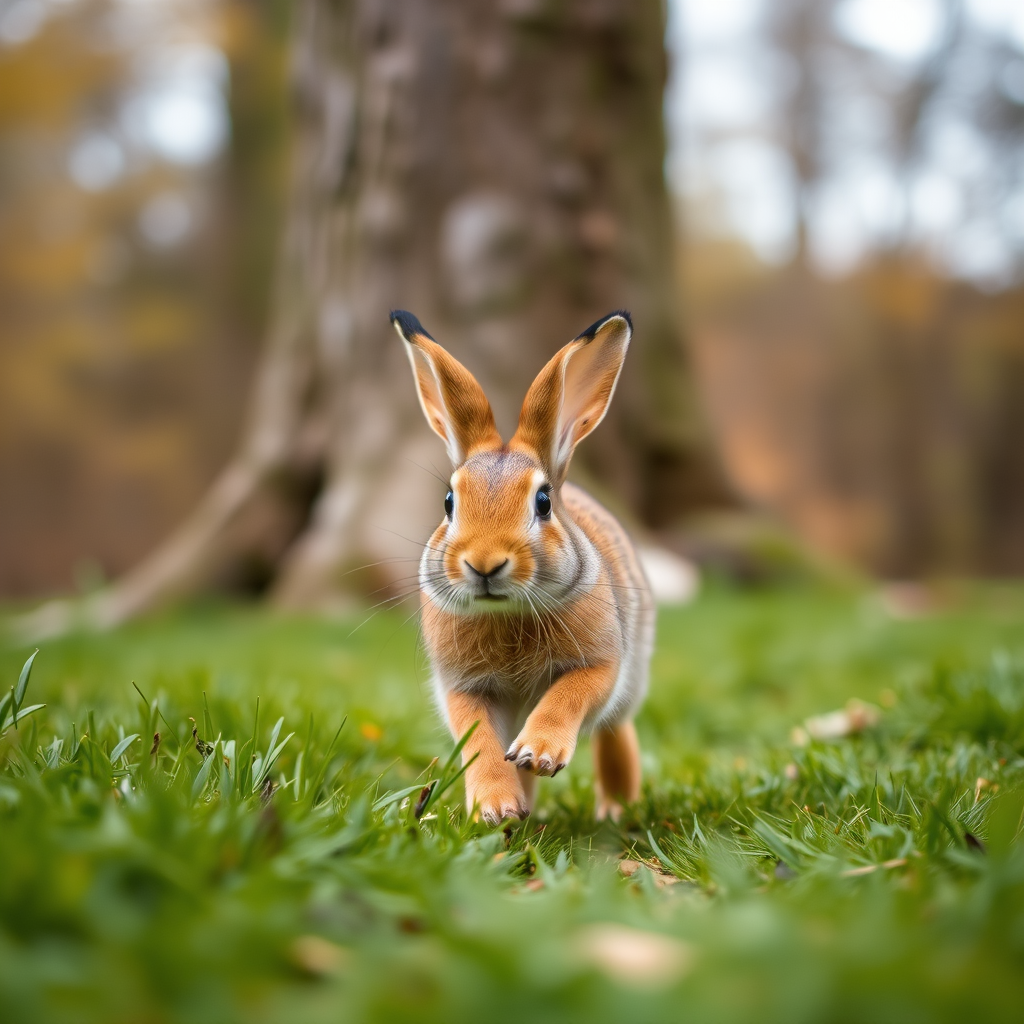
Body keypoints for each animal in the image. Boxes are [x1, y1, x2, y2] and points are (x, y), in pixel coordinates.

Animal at [387, 307, 651, 827]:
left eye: (543, 502)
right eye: (448, 502)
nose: (484, 562)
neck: (506, 612)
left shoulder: (602, 662)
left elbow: (571, 693)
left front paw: (539, 752)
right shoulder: (464, 689)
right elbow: (479, 741)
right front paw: (494, 806)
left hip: (630, 683)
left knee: (616, 732)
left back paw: (615, 808)